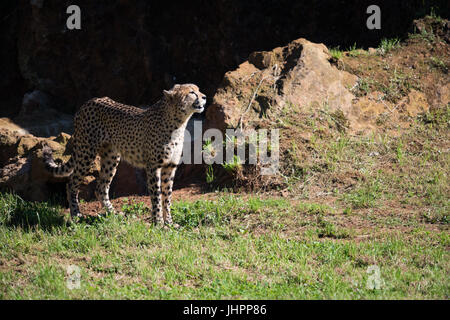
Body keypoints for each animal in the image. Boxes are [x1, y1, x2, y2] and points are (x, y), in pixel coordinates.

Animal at [44, 84, 206, 226]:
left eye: (198, 89)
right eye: (192, 92)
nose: (204, 96)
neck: (178, 122)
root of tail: (89, 102)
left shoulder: (170, 166)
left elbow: (167, 197)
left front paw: (170, 223)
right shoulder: (153, 167)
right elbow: (156, 196)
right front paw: (159, 223)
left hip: (111, 157)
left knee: (101, 187)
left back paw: (113, 214)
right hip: (86, 153)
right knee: (71, 182)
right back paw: (76, 215)